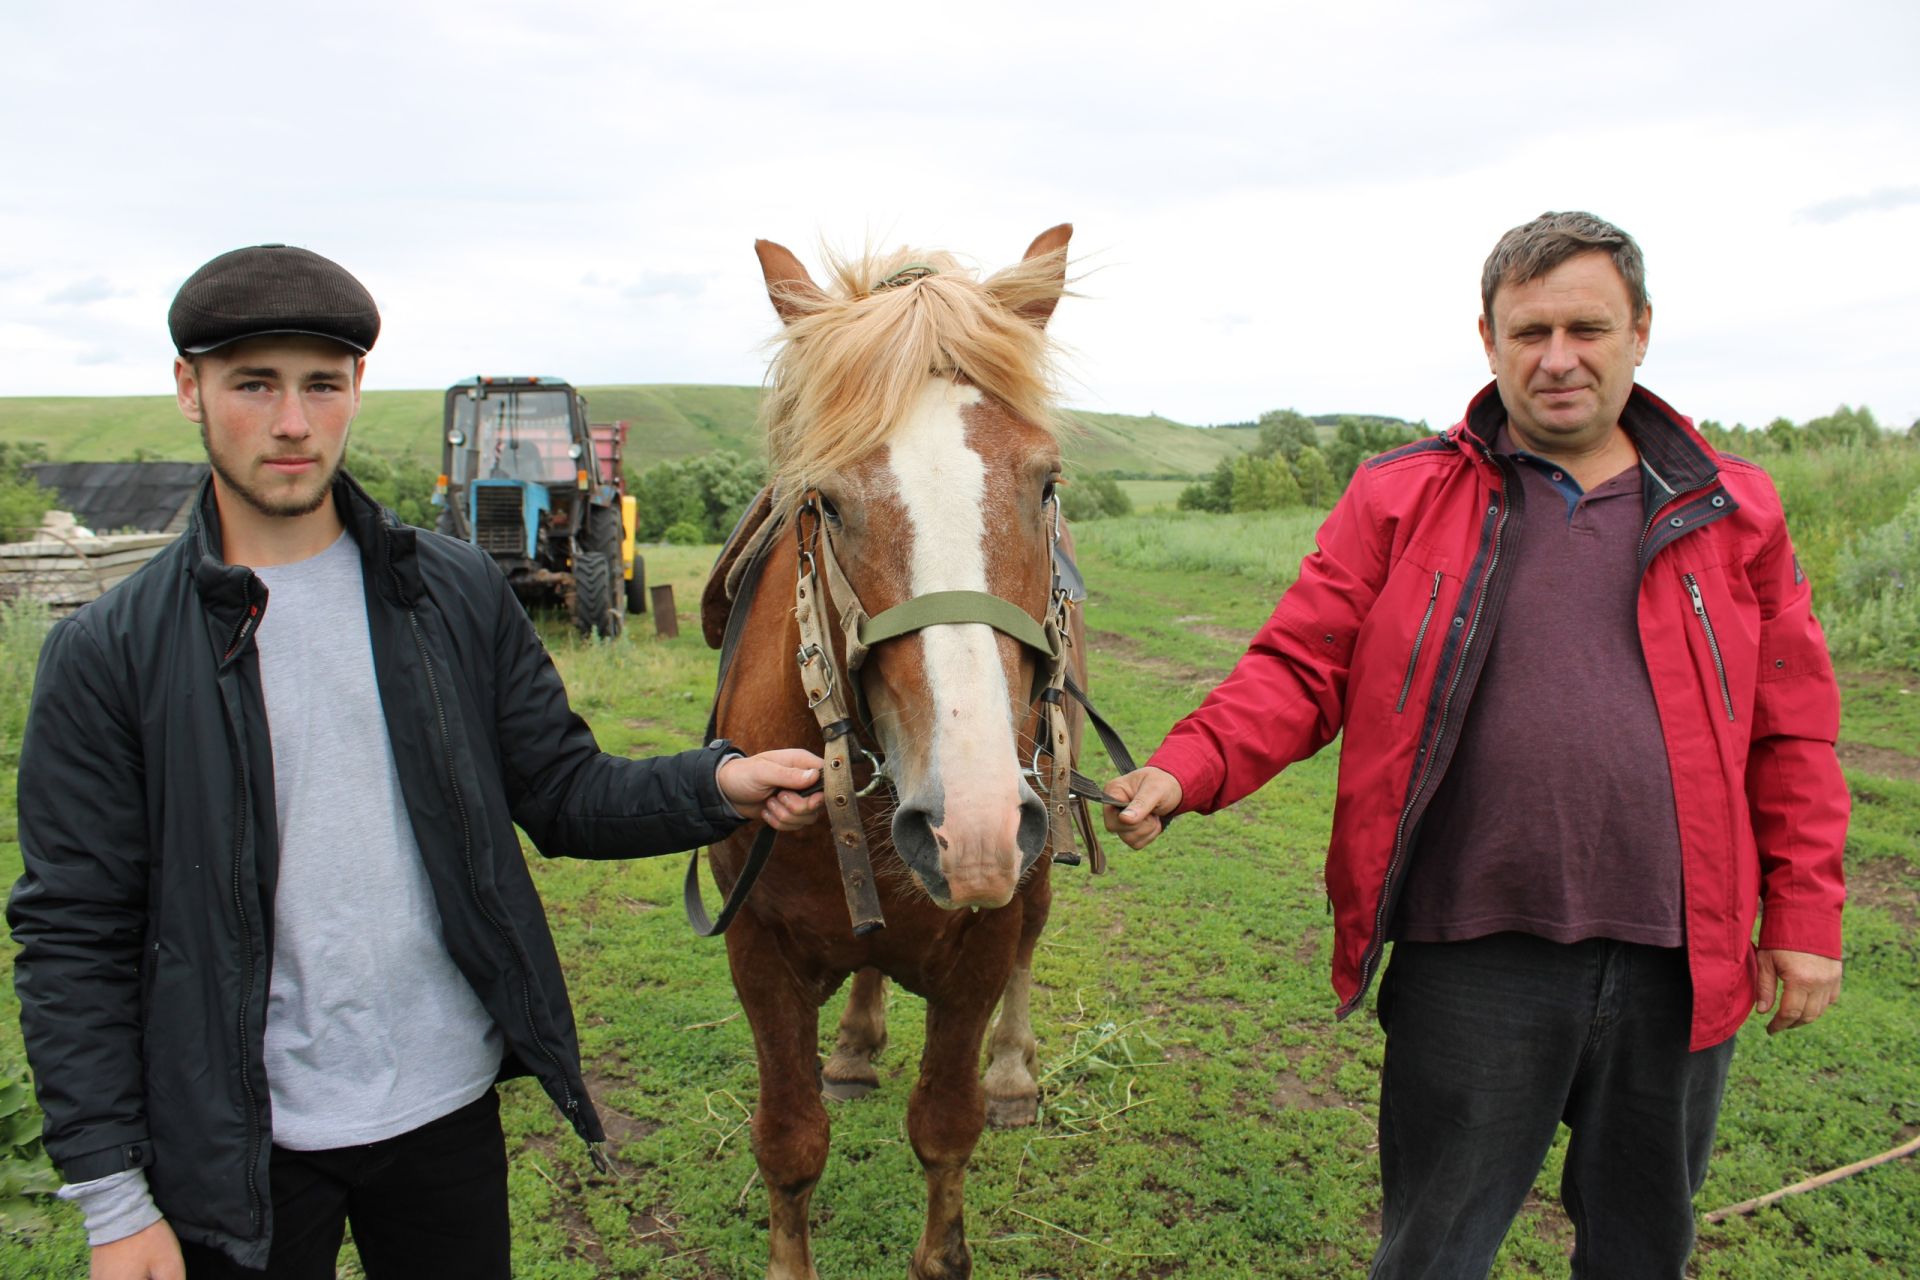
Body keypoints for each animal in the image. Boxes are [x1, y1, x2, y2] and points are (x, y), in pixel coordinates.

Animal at [702, 225, 1098, 1274]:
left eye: (1045, 482)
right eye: (827, 502)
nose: (971, 824)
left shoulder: (983, 942)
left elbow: (946, 1128)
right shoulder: (755, 947)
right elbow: (789, 1142)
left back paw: (1013, 1076)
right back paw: (853, 1046)